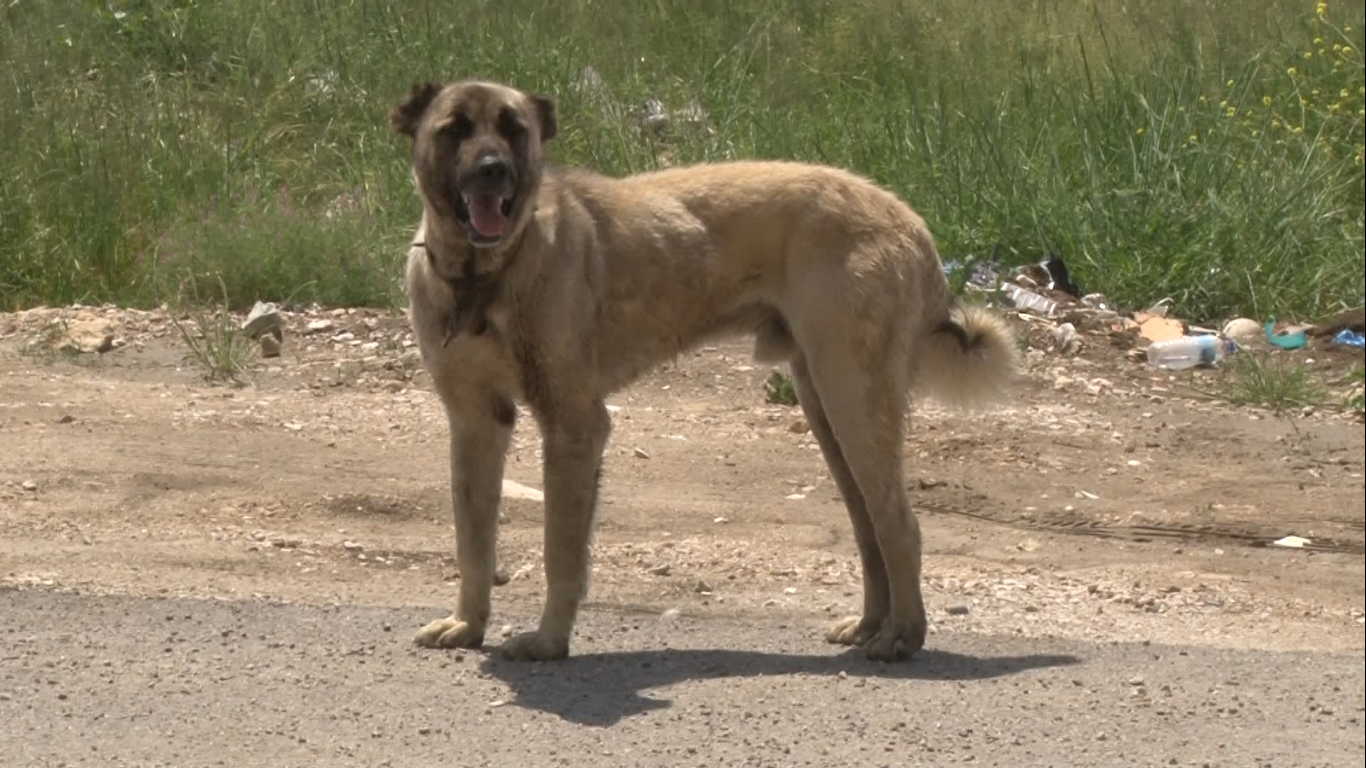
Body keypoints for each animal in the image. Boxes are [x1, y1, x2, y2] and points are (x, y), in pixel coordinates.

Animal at [390, 80, 1021, 661]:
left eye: (513, 129)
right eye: (456, 129)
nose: (493, 172)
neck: (483, 275)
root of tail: (912, 223)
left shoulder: (574, 426)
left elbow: (559, 551)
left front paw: (549, 641)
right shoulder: (475, 424)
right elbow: (473, 543)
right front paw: (467, 625)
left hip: (853, 403)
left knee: (900, 526)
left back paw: (903, 636)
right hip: (827, 408)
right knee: (869, 529)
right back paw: (872, 625)